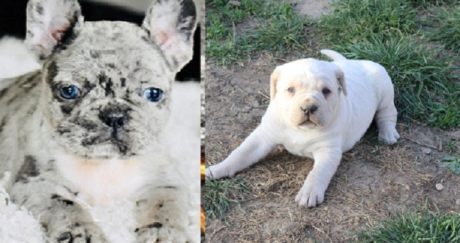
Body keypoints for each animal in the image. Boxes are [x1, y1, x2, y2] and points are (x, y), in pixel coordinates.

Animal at [1, 0, 199, 241]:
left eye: (154, 94)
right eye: (69, 91)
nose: (114, 115)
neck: (105, 163)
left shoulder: (166, 182)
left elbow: (167, 205)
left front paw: (164, 232)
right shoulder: (35, 183)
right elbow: (66, 206)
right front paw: (82, 232)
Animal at [205, 50, 398, 208]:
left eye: (326, 91)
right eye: (291, 89)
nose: (308, 108)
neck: (300, 129)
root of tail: (353, 62)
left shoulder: (328, 150)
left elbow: (318, 172)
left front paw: (309, 193)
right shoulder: (263, 136)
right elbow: (239, 154)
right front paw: (217, 169)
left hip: (385, 90)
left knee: (387, 113)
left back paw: (388, 134)